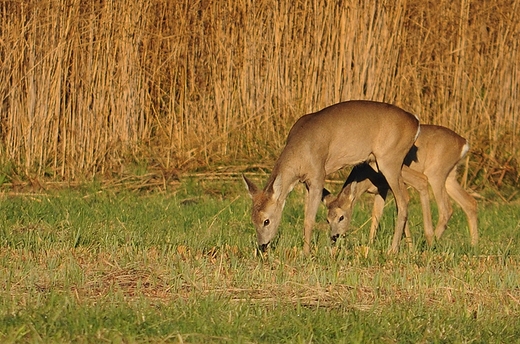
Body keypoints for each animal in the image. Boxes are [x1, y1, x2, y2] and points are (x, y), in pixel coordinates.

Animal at [242, 100, 420, 255]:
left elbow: (309, 219)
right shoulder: (306, 182)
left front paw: (305, 253)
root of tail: (415, 123)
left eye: (266, 220)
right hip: (383, 163)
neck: (301, 153)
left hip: (389, 160)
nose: (262, 245)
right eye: (252, 219)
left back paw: (393, 250)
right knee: (407, 194)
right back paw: (410, 249)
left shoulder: (318, 175)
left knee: (403, 201)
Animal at [322, 125, 478, 249]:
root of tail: (464, 143)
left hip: (436, 173)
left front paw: (409, 248)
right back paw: (473, 246)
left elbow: (402, 205)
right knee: (470, 203)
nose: (334, 236)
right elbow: (376, 214)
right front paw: (370, 244)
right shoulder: (381, 190)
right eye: (327, 219)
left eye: (341, 217)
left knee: (446, 208)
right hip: (450, 176)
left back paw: (428, 244)